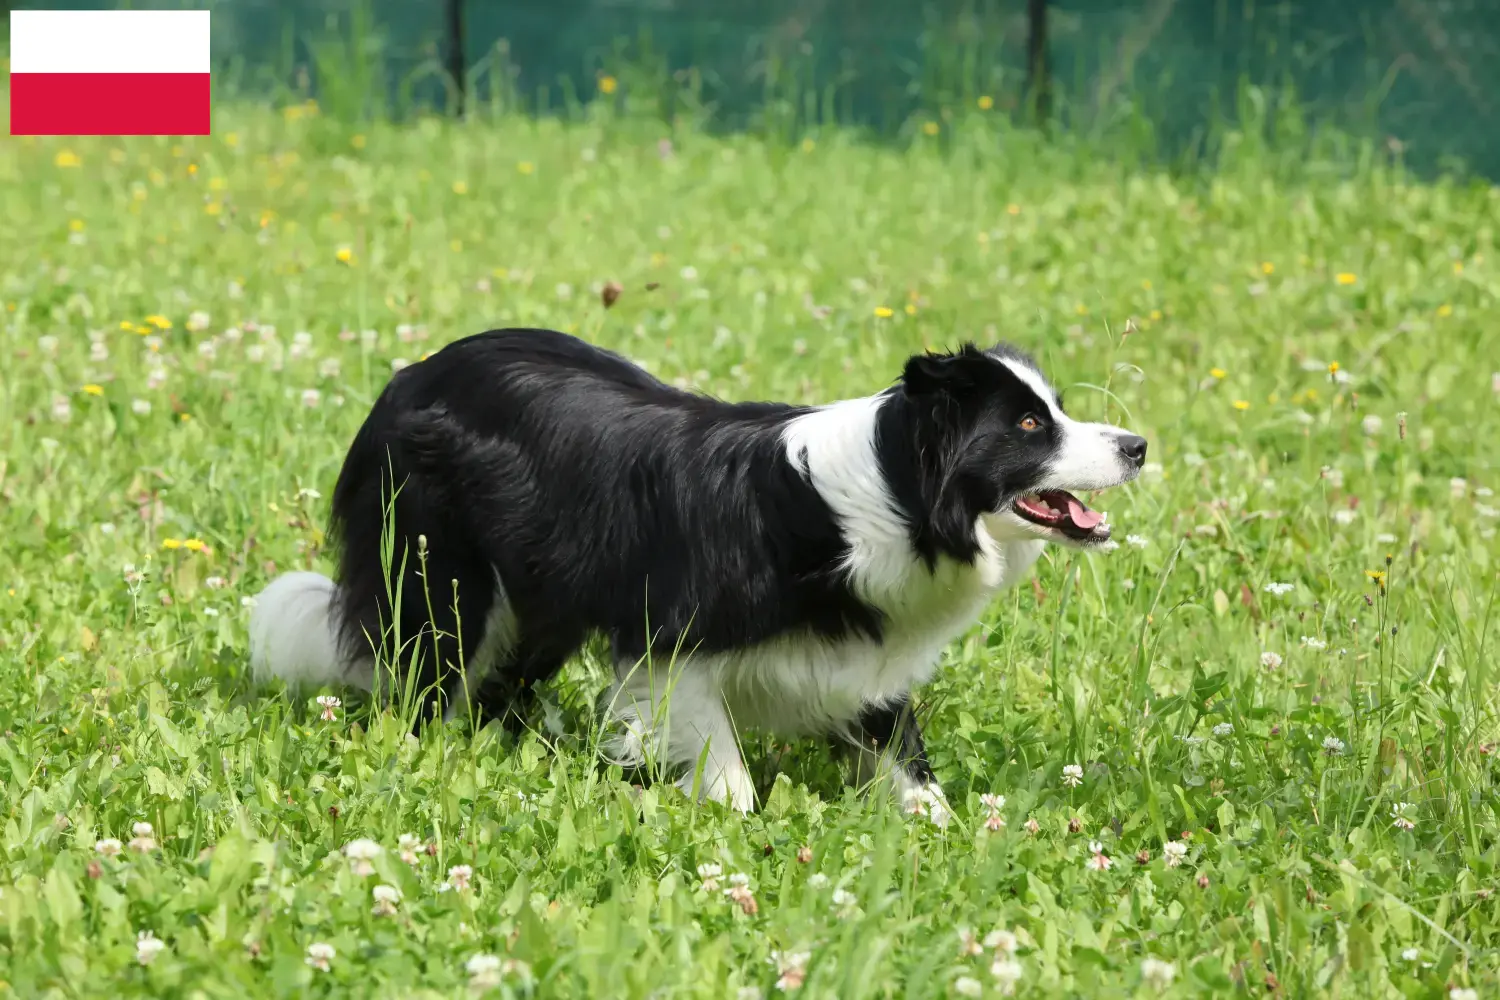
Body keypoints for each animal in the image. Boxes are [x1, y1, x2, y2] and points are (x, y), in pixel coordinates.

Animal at [249, 328, 1146, 821]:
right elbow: (727, 773)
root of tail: (408, 375)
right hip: (446, 575)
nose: (1138, 445)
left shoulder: (868, 654)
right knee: (429, 673)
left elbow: (903, 754)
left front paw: (942, 824)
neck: (895, 495)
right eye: (1028, 426)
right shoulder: (671, 641)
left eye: (1056, 411)